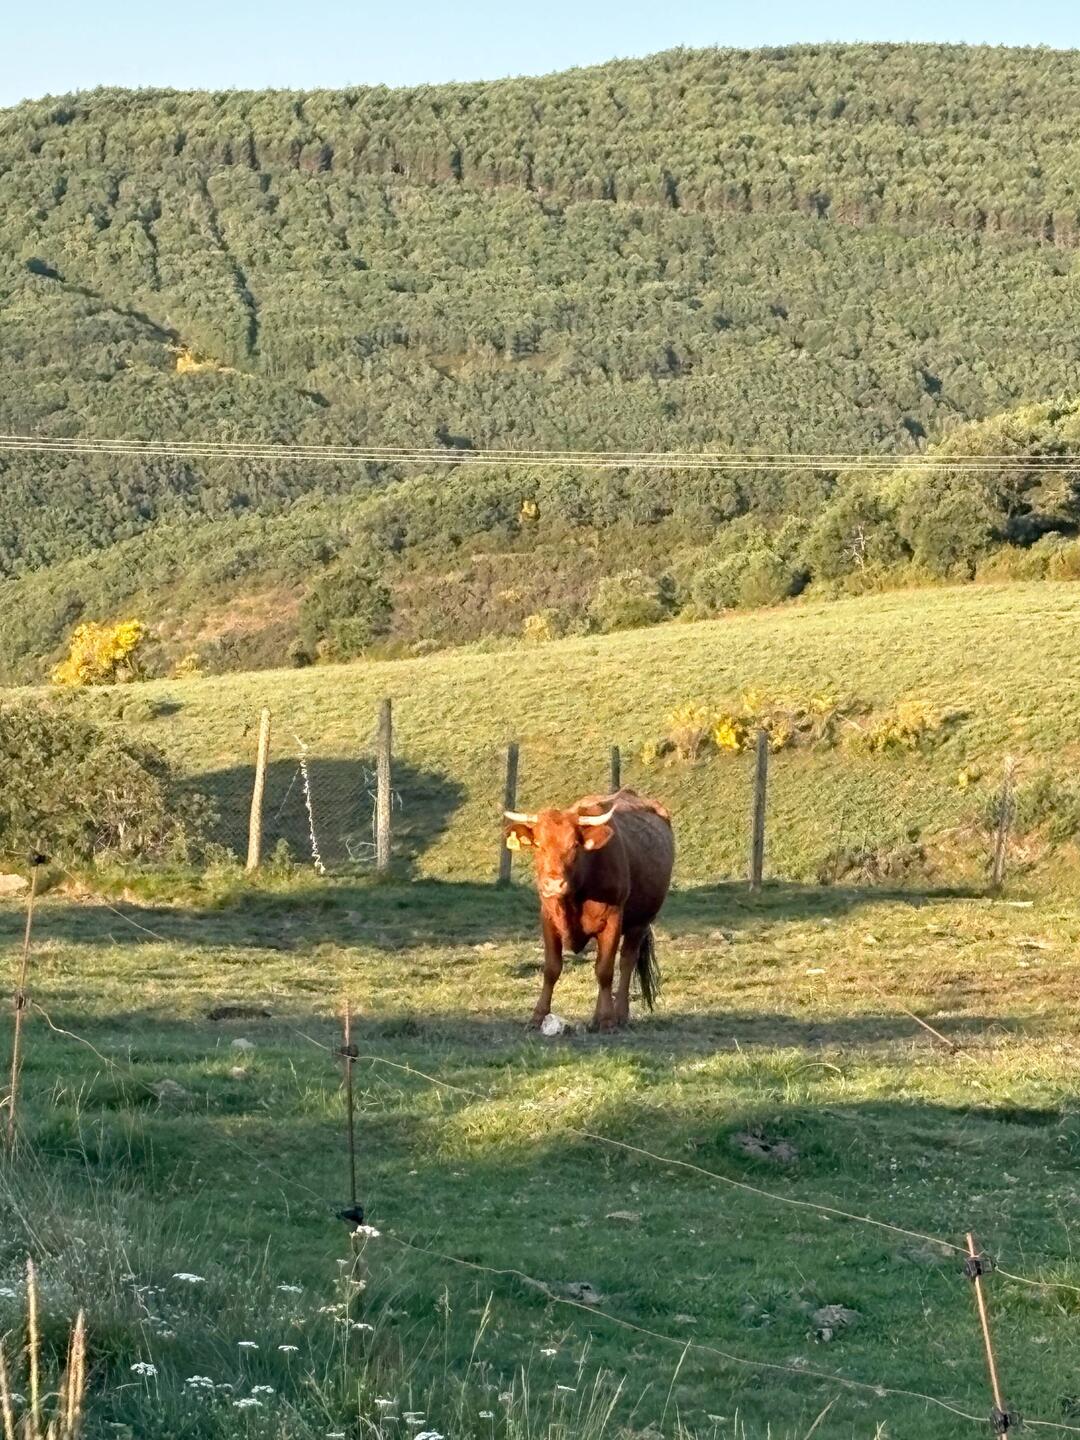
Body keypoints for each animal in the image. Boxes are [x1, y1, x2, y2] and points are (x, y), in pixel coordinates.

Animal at [503, 788, 675, 1031]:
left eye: (575, 845)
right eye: (538, 844)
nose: (554, 884)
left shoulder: (612, 920)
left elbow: (605, 970)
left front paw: (608, 1020)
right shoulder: (548, 919)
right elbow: (552, 969)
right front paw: (538, 1016)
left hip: (640, 923)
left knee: (626, 962)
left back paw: (620, 1013)